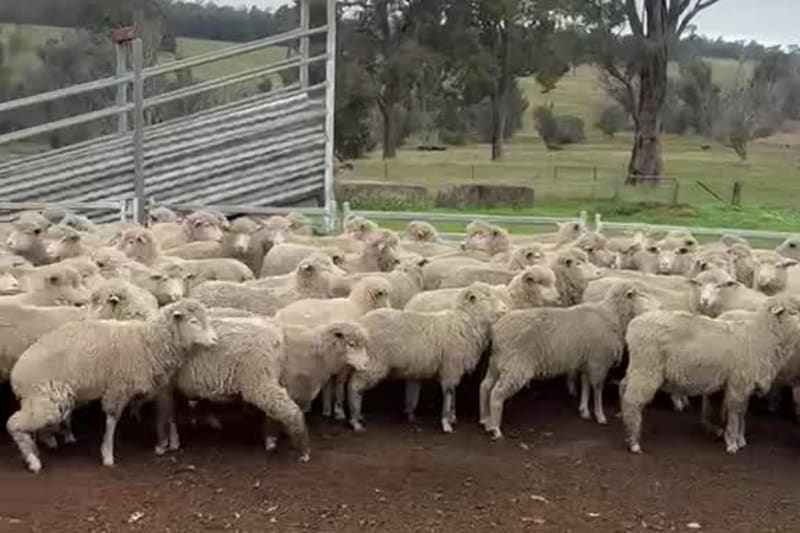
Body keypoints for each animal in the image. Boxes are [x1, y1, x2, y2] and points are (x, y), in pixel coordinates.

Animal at [6, 299, 218, 472]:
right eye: (193, 322)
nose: (215, 339)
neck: (146, 343)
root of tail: (17, 373)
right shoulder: (118, 387)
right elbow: (112, 420)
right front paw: (107, 454)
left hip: (43, 399)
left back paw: (43, 444)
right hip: (45, 399)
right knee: (13, 424)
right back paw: (33, 460)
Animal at [155, 316, 310, 461]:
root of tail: (276, 335)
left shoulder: (163, 386)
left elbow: (164, 415)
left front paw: (163, 445)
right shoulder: (169, 386)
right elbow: (170, 414)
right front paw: (174, 442)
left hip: (258, 378)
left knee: (288, 408)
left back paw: (303, 449)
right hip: (271, 377)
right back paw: (272, 440)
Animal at [350, 283, 509, 432]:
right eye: (486, 297)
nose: (505, 308)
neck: (463, 323)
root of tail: (360, 324)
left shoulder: (453, 369)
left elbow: (453, 392)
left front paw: (451, 417)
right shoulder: (450, 366)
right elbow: (449, 393)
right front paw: (446, 422)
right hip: (373, 362)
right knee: (354, 387)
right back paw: (355, 421)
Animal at [480, 282, 653, 439]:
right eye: (640, 294)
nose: (652, 308)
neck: (612, 316)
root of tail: (498, 331)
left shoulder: (587, 361)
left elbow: (585, 385)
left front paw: (584, 410)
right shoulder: (598, 362)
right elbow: (597, 388)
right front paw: (600, 415)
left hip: (498, 362)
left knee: (485, 386)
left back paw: (485, 420)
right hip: (516, 365)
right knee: (496, 394)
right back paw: (495, 428)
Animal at [620, 295, 800, 455]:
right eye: (794, 312)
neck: (761, 337)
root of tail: (633, 326)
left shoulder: (745, 385)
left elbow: (742, 412)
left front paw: (740, 440)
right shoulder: (738, 382)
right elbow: (735, 411)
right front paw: (732, 443)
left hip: (638, 366)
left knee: (623, 388)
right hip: (647, 367)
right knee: (632, 400)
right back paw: (634, 442)